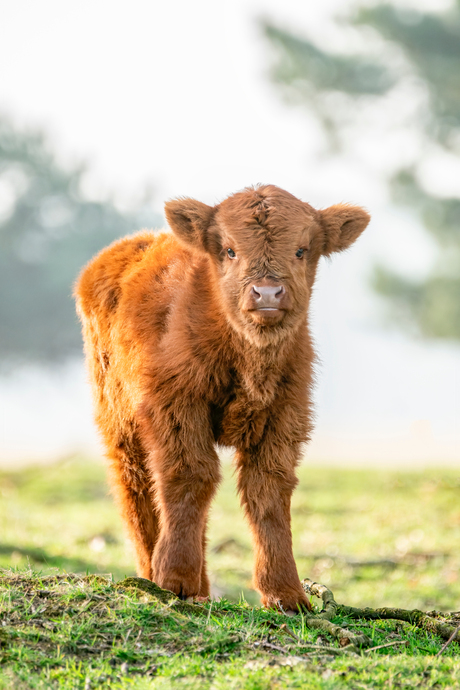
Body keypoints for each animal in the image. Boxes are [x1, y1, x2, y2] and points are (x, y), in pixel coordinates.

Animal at [75, 184, 370, 612]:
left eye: (302, 250)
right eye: (230, 250)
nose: (267, 292)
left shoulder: (286, 416)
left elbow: (267, 492)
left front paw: (286, 594)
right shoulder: (175, 406)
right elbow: (189, 476)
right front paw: (174, 580)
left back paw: (200, 588)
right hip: (120, 423)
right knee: (138, 488)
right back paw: (156, 574)